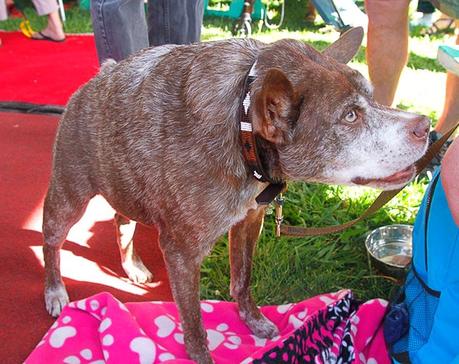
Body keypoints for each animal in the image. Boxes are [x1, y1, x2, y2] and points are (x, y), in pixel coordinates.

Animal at [41, 29, 430, 364]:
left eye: (372, 98)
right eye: (350, 115)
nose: (425, 126)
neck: (241, 122)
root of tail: (97, 79)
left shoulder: (249, 220)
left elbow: (242, 279)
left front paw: (252, 320)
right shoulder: (181, 253)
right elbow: (193, 321)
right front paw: (201, 355)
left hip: (125, 187)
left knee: (121, 218)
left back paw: (131, 266)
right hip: (68, 197)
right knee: (52, 242)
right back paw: (55, 291)